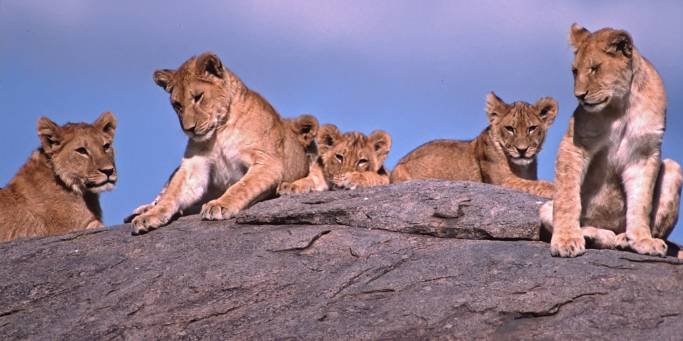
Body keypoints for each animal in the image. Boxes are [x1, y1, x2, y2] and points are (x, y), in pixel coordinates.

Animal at [127, 52, 320, 234]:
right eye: (177, 105)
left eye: (198, 97)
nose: (189, 129)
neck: (220, 132)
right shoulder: (193, 166)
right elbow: (171, 194)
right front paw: (149, 216)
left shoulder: (268, 162)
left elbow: (241, 186)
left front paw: (219, 205)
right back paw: (141, 210)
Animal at [392, 91, 560, 197]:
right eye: (509, 129)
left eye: (531, 128)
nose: (522, 150)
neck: (522, 166)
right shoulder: (502, 181)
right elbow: (535, 185)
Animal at [540, 23, 683, 256]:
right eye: (575, 71)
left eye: (595, 68)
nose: (579, 95)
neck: (621, 105)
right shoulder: (575, 144)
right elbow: (568, 198)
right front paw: (566, 240)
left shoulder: (644, 153)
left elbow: (641, 202)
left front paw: (642, 239)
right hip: (545, 206)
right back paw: (592, 234)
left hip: (673, 167)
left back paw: (623, 239)